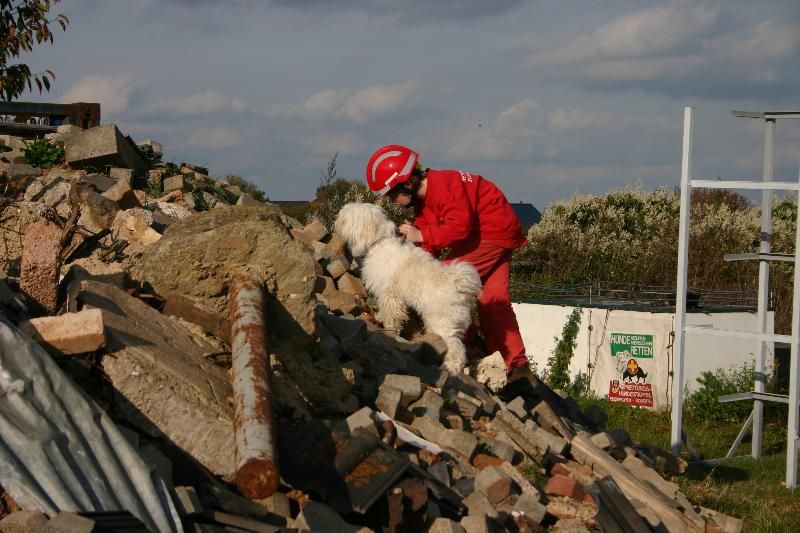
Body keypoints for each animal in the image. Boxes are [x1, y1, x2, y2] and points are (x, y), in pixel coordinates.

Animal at [334, 202, 481, 374]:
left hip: (443, 324)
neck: (380, 241)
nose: (336, 222)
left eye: (345, 218)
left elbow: (391, 315)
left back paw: (451, 367)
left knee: (456, 348)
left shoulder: (389, 294)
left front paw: (389, 329)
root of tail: (458, 284)